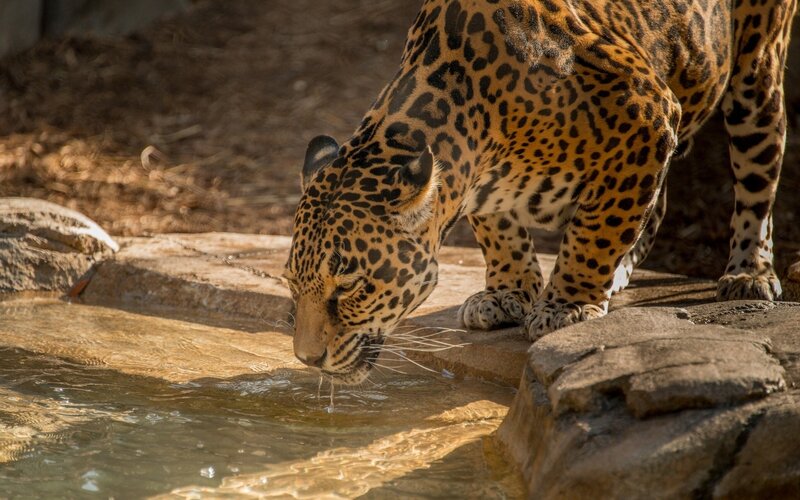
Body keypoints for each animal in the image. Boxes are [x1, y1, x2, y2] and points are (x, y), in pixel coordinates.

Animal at [283, 0, 797, 384]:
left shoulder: (647, 114)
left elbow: (598, 229)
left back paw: (749, 272)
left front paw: (567, 305)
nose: (307, 359)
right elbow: (499, 228)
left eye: (350, 286)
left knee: (757, 178)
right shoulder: (479, 180)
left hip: (757, 75)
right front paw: (508, 292)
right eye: (291, 283)